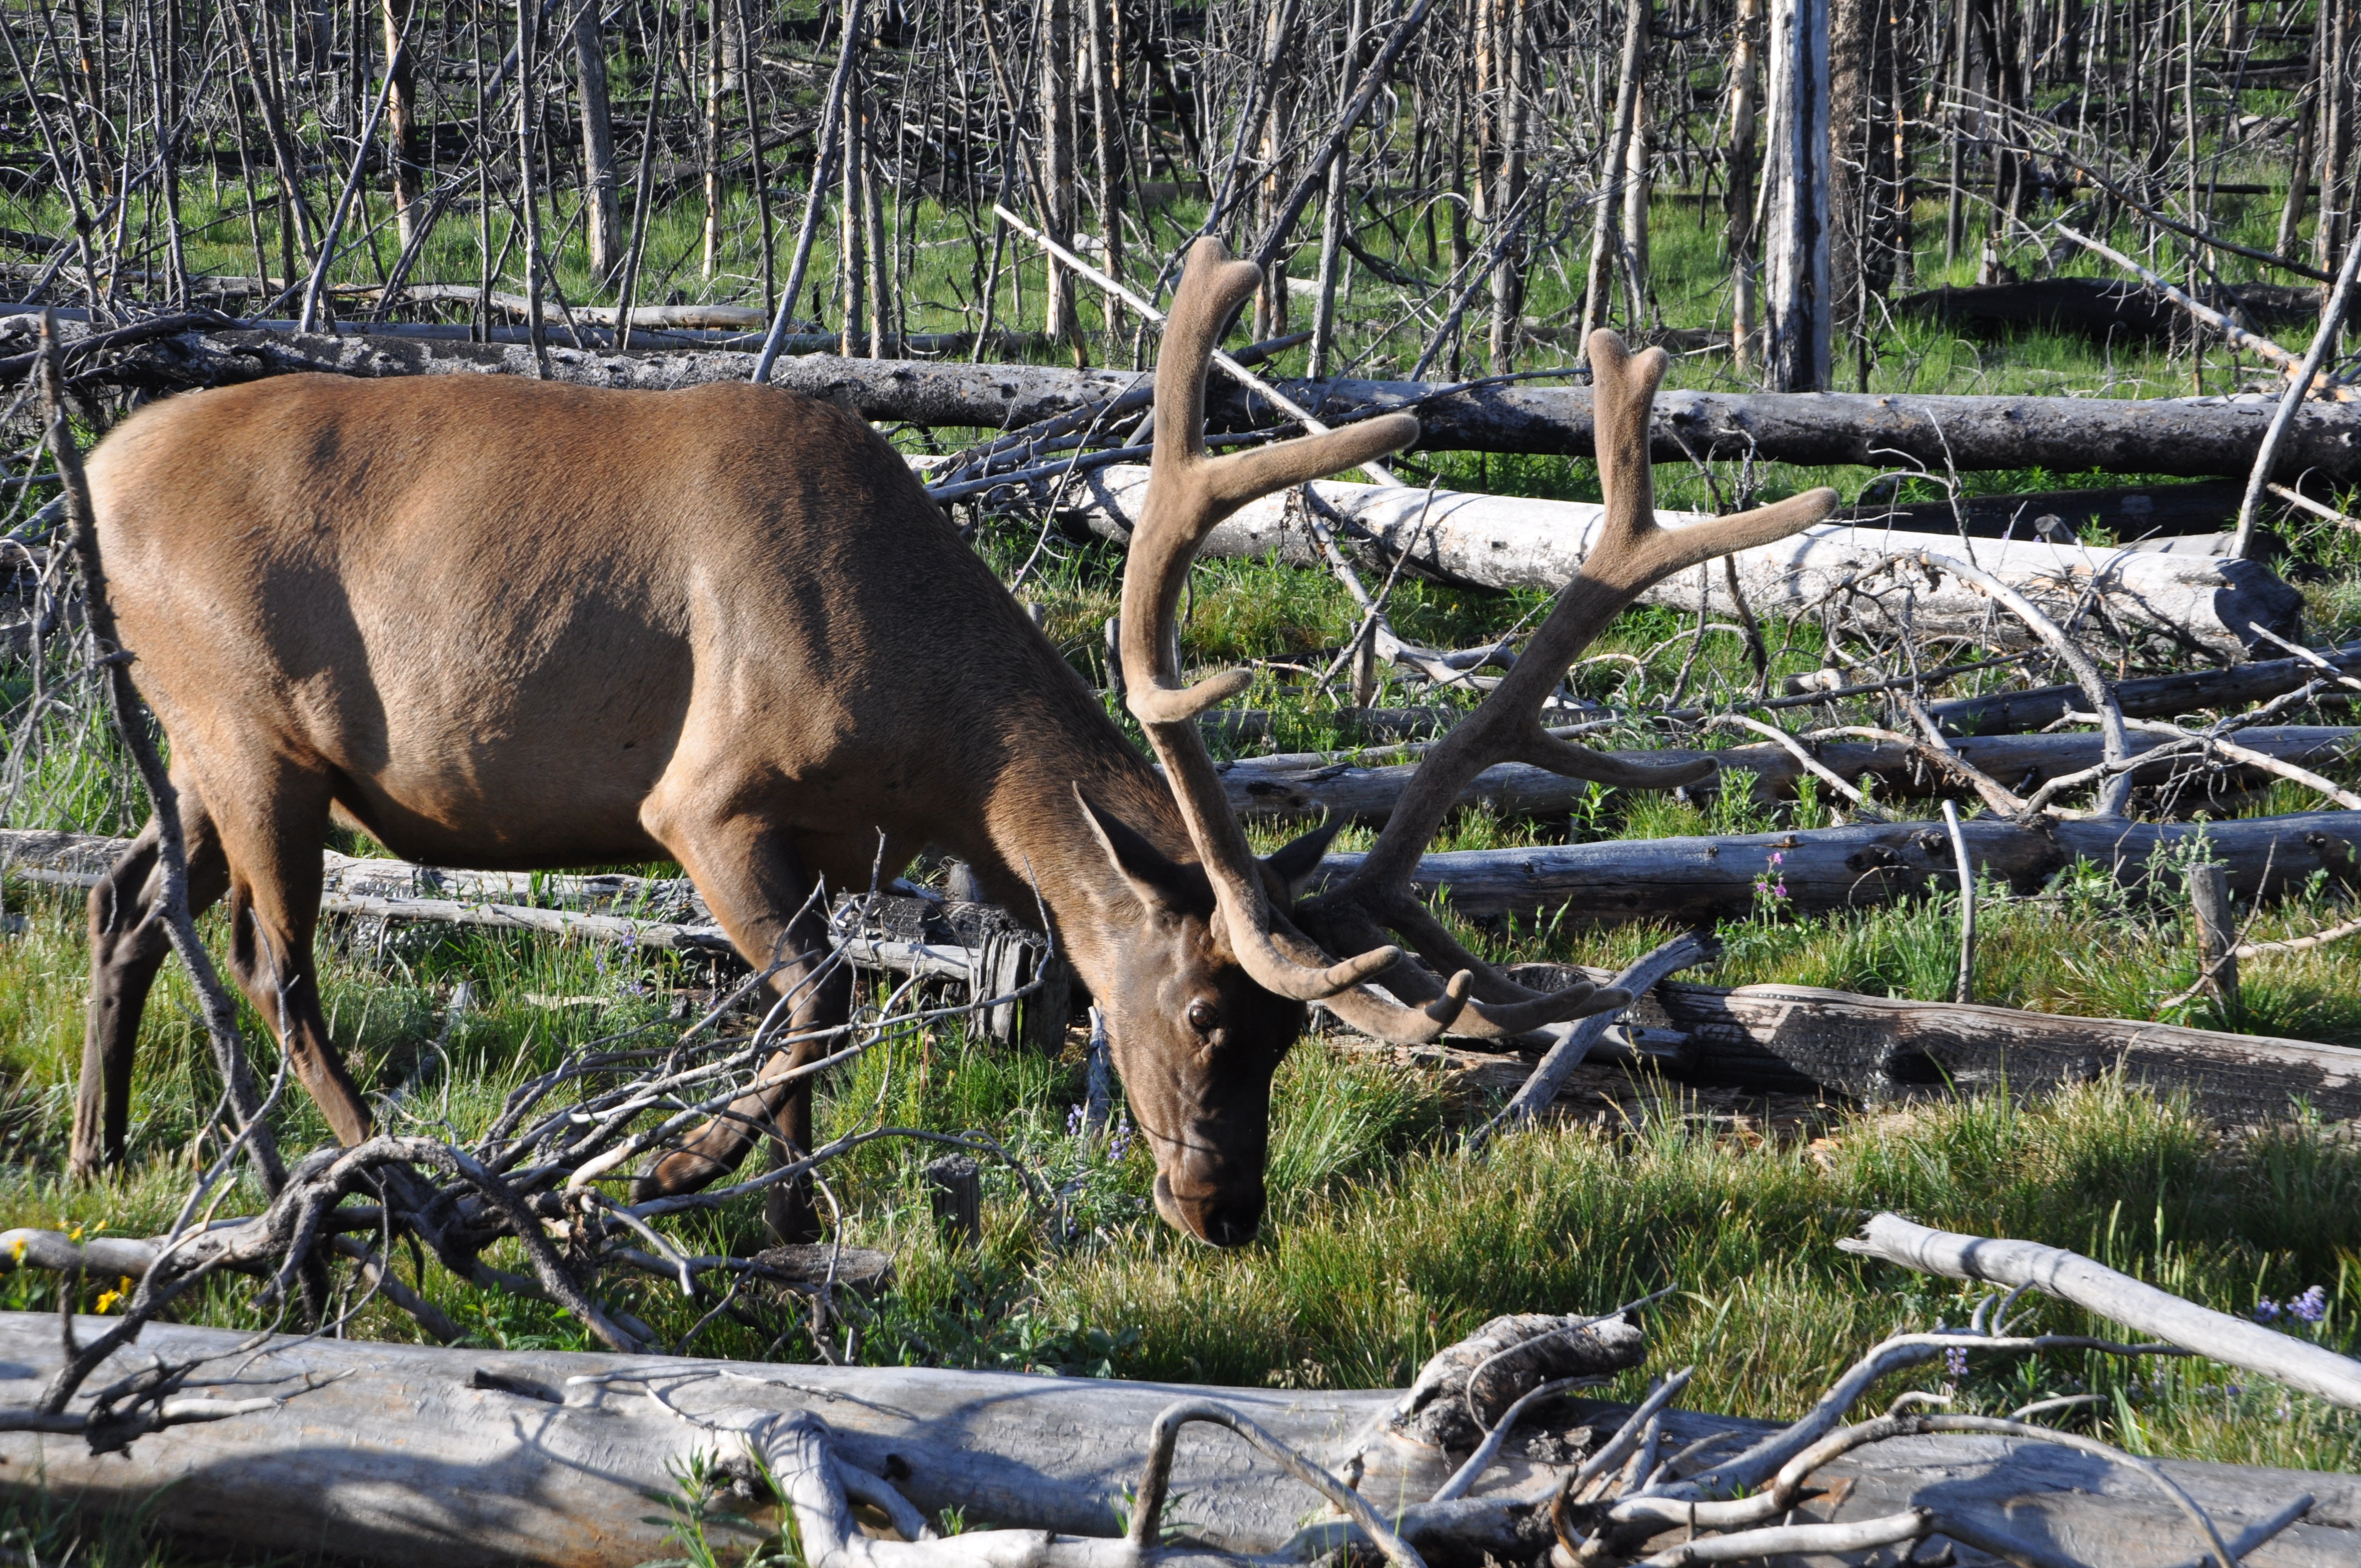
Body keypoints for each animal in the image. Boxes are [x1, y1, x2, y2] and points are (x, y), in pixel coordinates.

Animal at [64, 242, 1832, 1246]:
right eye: (1207, 1012)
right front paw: (680, 1169)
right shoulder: (702, 799)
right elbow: (818, 998)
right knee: (274, 963)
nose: (1226, 1209)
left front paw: (786, 1210)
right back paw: (405, 1177)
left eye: (1289, 1039)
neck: (928, 730)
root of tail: (91, 474)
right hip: (254, 734)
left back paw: (98, 1145)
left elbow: (815, 1016)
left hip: (196, 748)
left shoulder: (853, 838)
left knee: (123, 898)